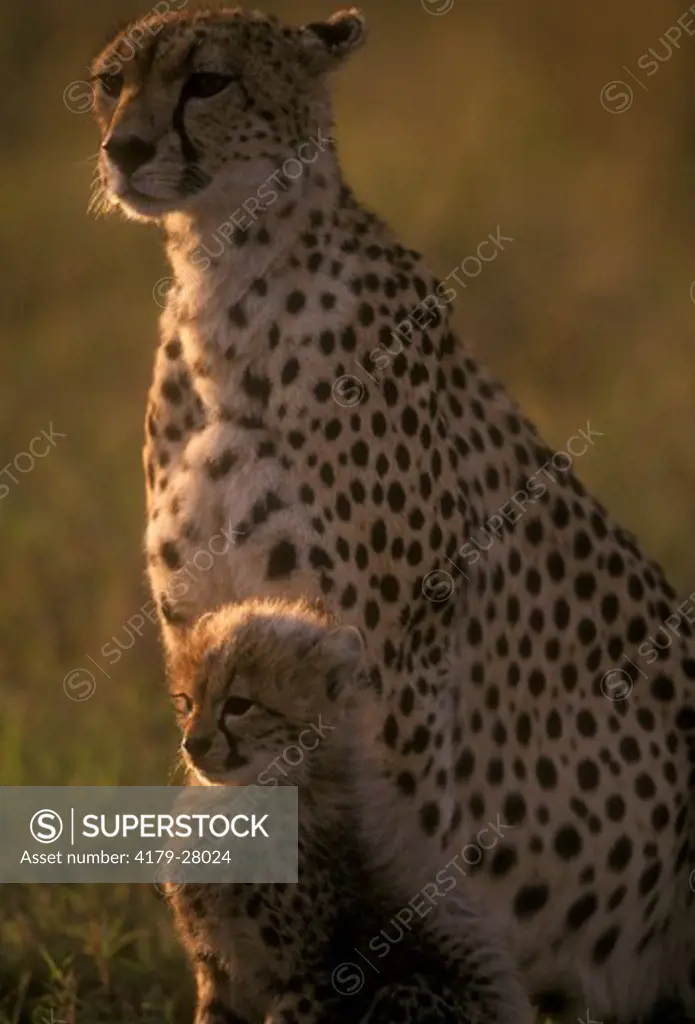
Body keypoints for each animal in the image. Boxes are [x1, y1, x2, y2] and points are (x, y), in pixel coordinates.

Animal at [93, 8, 695, 1024]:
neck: (227, 280)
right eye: (109, 82)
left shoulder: (392, 663)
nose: (124, 149)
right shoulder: (198, 626)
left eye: (208, 81)